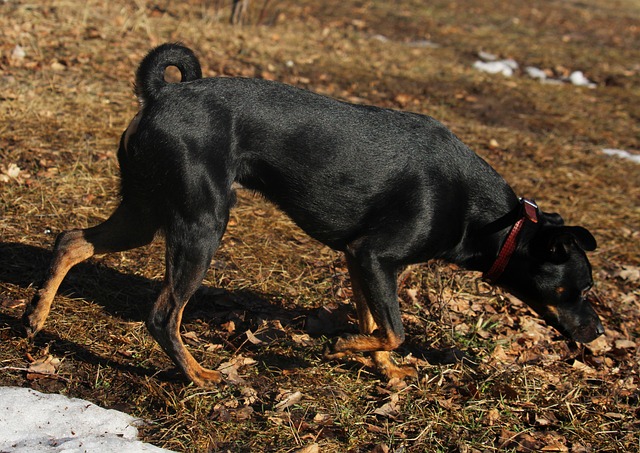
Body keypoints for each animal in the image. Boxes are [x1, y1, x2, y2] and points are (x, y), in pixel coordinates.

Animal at [23, 43, 604, 384]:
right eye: (576, 289)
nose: (598, 335)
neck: (492, 219)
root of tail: (161, 92)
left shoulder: (361, 261)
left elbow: (378, 322)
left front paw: (383, 370)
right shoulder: (373, 256)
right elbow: (394, 328)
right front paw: (343, 345)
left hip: (145, 212)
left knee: (71, 239)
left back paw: (35, 317)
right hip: (202, 225)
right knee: (164, 314)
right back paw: (200, 376)